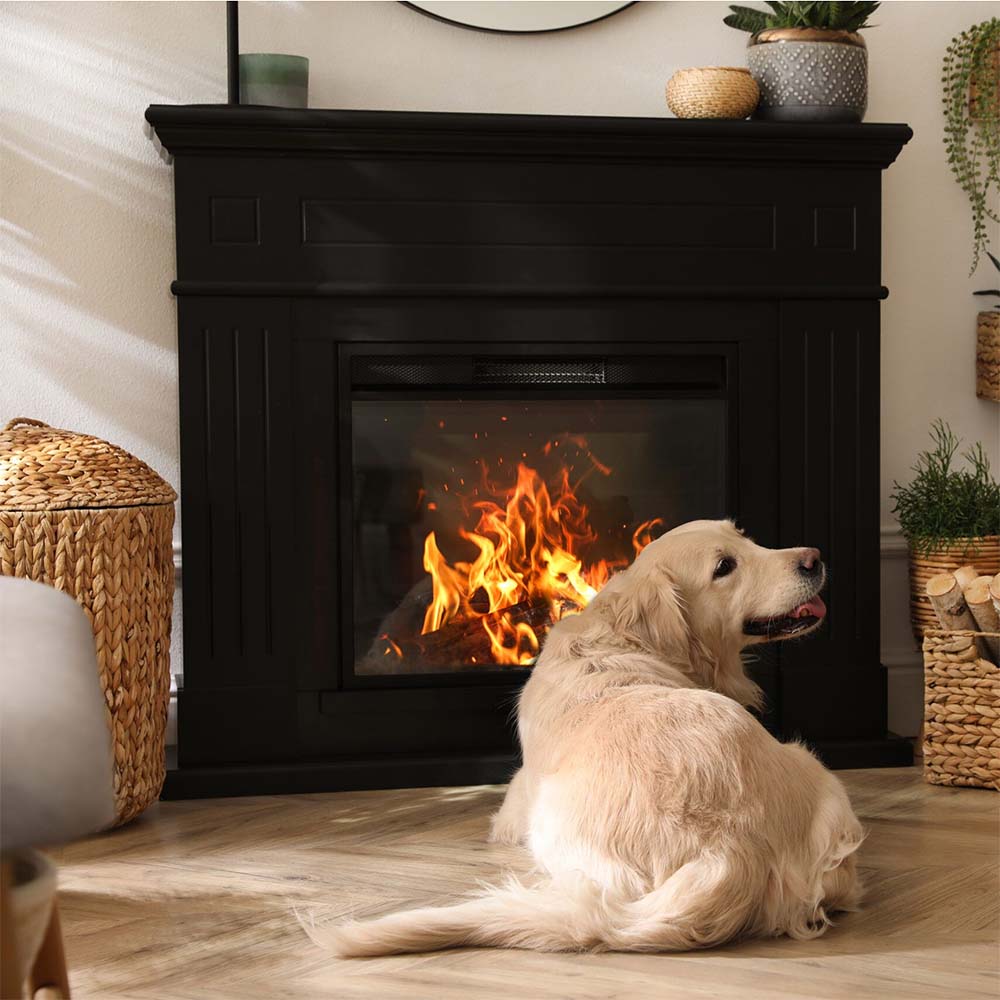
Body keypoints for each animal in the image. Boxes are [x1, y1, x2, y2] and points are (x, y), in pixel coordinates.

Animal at [320, 520, 860, 956]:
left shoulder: (514, 805)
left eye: (746, 538)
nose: (814, 557)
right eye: (725, 565)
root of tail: (730, 848)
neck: (628, 637)